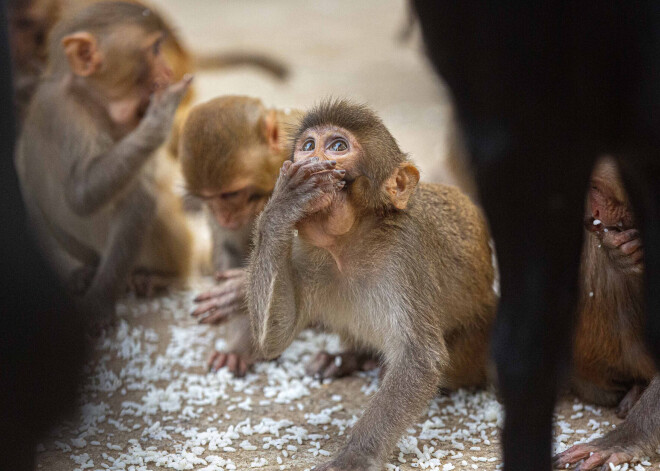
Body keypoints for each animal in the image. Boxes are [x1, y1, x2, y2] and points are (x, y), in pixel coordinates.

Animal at [14, 1, 196, 328]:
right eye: (155, 48)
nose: (169, 71)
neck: (89, 98)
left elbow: (102, 196)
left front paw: (99, 302)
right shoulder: (63, 111)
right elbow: (81, 195)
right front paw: (160, 116)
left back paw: (164, 276)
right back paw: (91, 270)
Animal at [178, 95, 302, 376]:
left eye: (231, 194)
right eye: (208, 198)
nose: (224, 216)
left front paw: (236, 291)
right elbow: (229, 251)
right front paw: (237, 347)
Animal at [246, 100, 496, 471]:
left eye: (337, 146)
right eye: (308, 145)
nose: (310, 158)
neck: (351, 242)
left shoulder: (404, 250)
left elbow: (420, 358)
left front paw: (355, 456)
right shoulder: (308, 251)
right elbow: (274, 337)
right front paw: (282, 204)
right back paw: (347, 359)